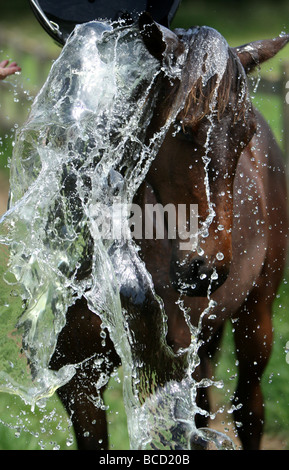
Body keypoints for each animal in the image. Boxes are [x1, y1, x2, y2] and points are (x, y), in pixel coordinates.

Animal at [50, 12, 288, 450]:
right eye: (181, 128)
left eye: (244, 134)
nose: (207, 269)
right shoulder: (79, 384)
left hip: (256, 318)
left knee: (249, 410)